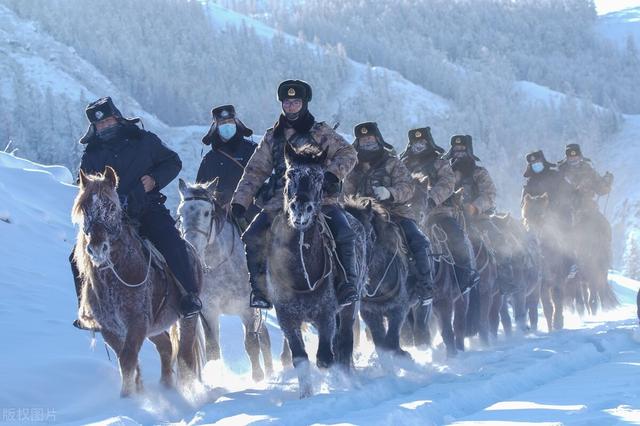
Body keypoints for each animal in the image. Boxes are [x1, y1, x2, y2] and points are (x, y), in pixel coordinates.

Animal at [72, 166, 204, 396]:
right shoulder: (111, 329)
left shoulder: (136, 323)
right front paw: (134, 393)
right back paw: (166, 387)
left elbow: (127, 360)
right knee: (166, 347)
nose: (97, 248)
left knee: (185, 355)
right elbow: (126, 361)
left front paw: (127, 397)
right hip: (154, 328)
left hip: (187, 318)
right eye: (84, 208)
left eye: (111, 206)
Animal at [176, 178, 274, 382]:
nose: (191, 247)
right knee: (265, 335)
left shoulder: (246, 309)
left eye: (207, 213)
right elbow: (213, 349)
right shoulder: (209, 312)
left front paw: (258, 377)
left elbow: (251, 343)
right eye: (180, 213)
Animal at [264, 144, 364, 400]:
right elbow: (300, 359)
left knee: (344, 343)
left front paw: (335, 384)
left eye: (319, 177)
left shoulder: (326, 313)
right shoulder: (287, 318)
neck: (300, 274)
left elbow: (325, 358)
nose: (301, 208)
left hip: (349, 307)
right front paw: (306, 395)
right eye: (290, 174)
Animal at [342, 198, 418, 358]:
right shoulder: (369, 312)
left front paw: (400, 353)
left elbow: (391, 338)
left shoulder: (399, 308)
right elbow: (379, 340)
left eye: (365, 232)